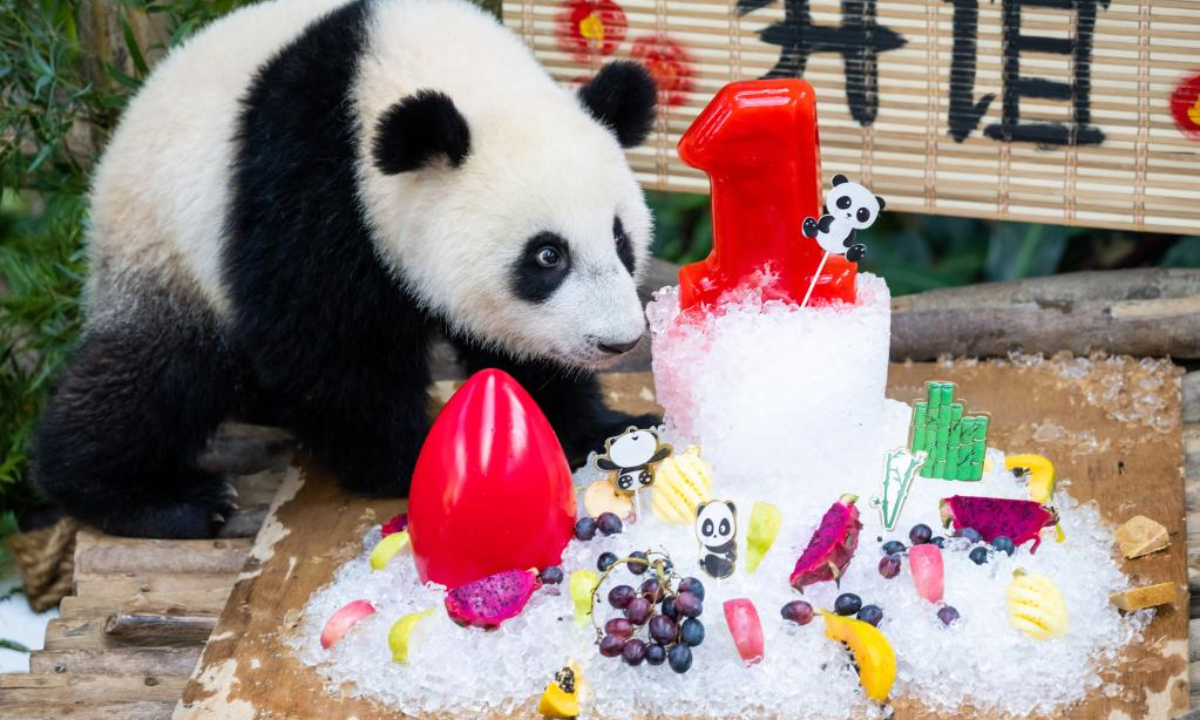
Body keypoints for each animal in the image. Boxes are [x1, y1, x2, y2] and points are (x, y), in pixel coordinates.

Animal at [32, 0, 662, 537]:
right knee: (159, 371)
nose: (617, 342)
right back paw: (154, 497)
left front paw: (597, 428)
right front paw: (407, 459)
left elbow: (517, 356)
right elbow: (326, 344)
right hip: (168, 244)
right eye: (547, 255)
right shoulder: (311, 180)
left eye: (619, 238)